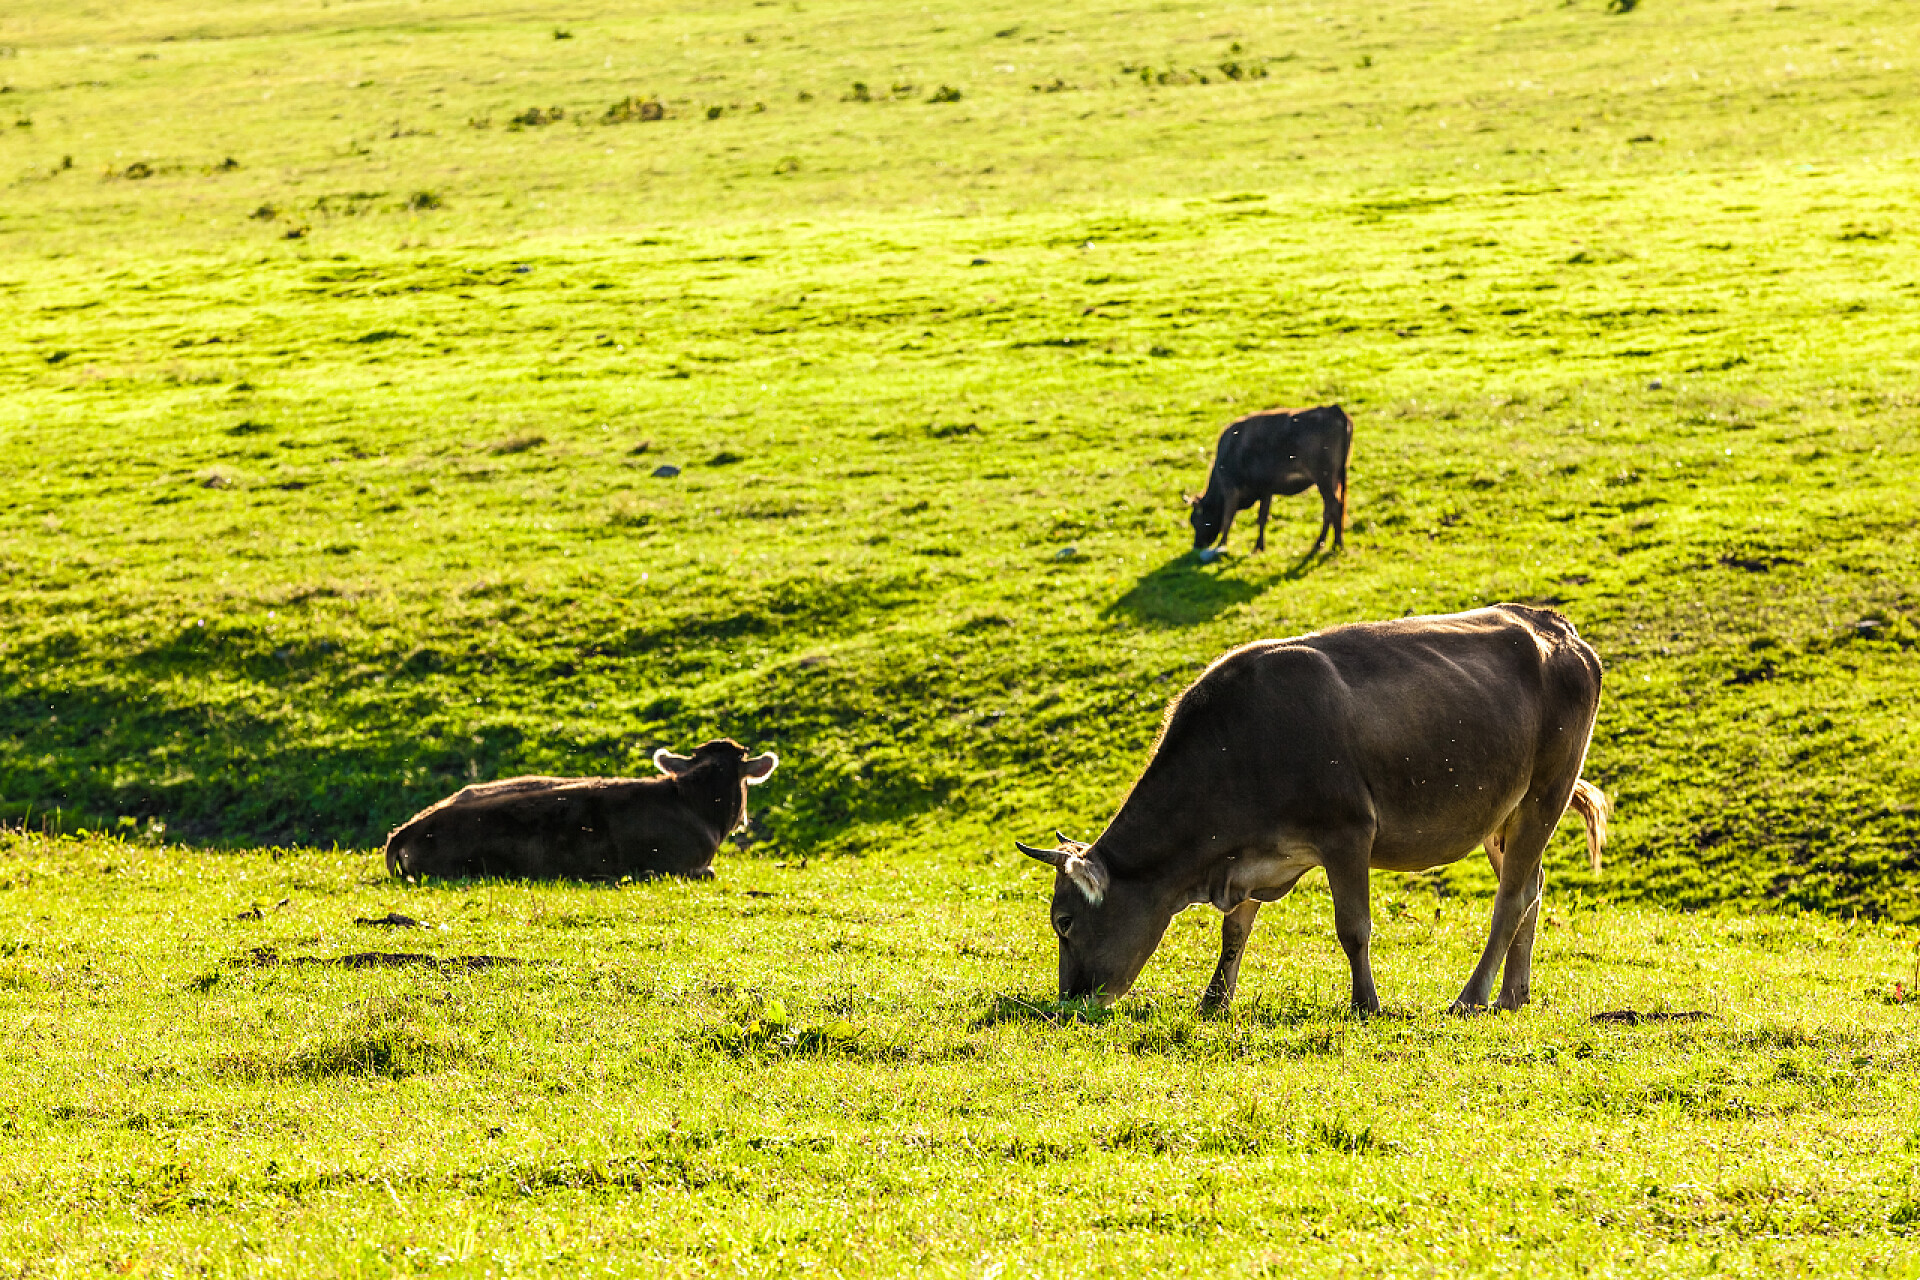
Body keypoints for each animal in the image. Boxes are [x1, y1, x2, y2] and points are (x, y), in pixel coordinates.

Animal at [1021, 606, 1605, 1013]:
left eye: (1064, 921)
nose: (1069, 1001)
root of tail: (1555, 626)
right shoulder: (1247, 859)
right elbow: (1234, 932)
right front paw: (1214, 1001)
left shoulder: (1347, 832)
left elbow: (1353, 927)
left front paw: (1366, 1005)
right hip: (1502, 815)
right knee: (1530, 886)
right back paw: (1512, 995)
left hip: (1545, 793)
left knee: (1510, 899)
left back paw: (1472, 997)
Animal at [1182, 404, 1351, 556]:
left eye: (1195, 520)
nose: (1197, 546)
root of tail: (1332, 409)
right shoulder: (1266, 490)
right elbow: (1262, 517)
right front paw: (1259, 547)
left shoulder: (1231, 490)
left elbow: (1227, 519)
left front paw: (1221, 546)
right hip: (1333, 480)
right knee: (1330, 509)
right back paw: (1321, 544)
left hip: (1324, 479)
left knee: (1334, 506)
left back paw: (1336, 545)